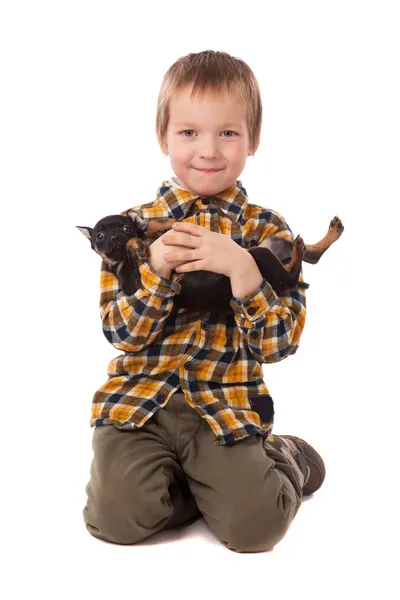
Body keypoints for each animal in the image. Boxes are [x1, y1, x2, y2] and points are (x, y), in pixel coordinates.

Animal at [77, 212, 344, 314]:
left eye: (124, 228)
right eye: (99, 237)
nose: (114, 238)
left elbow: (156, 226)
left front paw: (159, 226)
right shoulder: (131, 284)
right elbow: (133, 251)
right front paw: (137, 246)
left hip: (271, 243)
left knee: (310, 256)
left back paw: (330, 234)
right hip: (261, 255)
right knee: (294, 271)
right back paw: (302, 249)